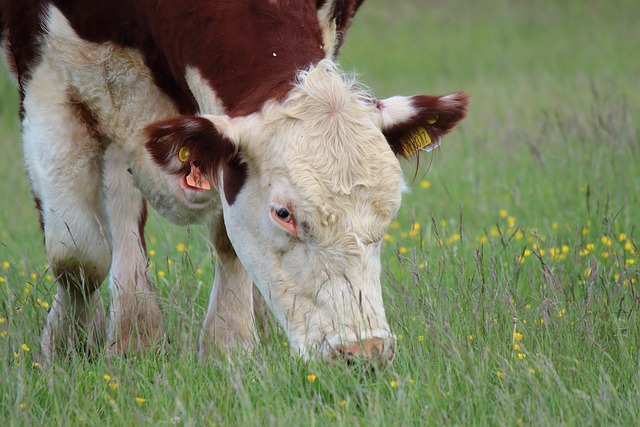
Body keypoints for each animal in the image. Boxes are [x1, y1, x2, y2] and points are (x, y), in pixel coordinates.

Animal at [1, 0, 470, 368]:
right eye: (283, 213)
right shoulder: (42, 66)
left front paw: (229, 345)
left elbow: (228, 239)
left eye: (389, 214)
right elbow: (77, 256)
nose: (363, 351)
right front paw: (66, 350)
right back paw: (134, 336)